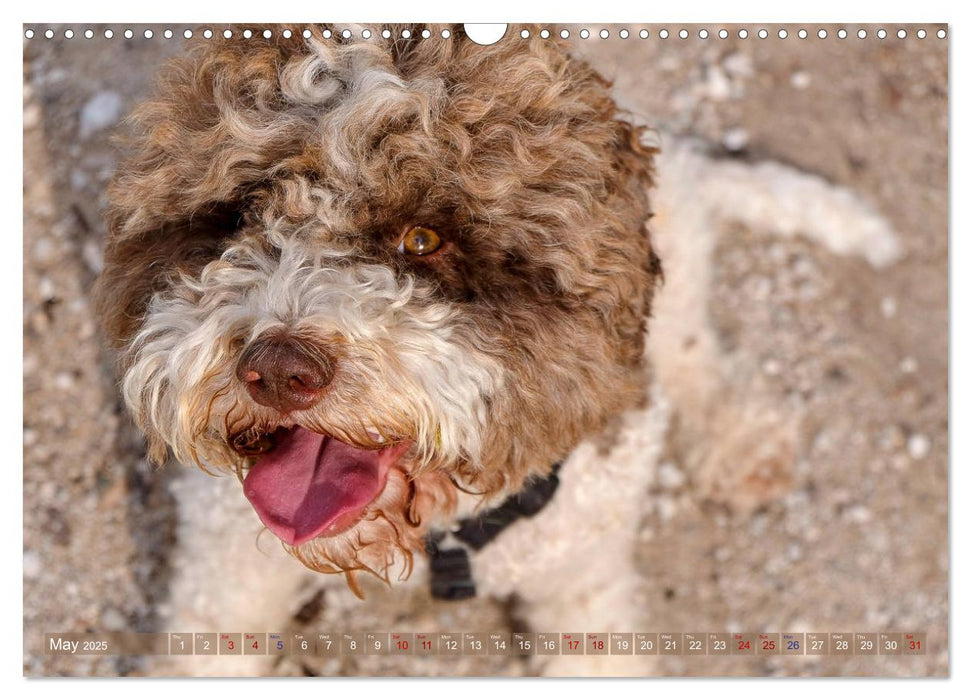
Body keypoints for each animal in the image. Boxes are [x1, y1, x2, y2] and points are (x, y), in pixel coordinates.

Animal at [95, 24, 900, 676]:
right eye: (239, 216)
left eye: (422, 239)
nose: (277, 370)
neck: (437, 530)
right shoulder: (220, 579)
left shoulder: (585, 585)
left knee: (695, 357)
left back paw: (744, 446)